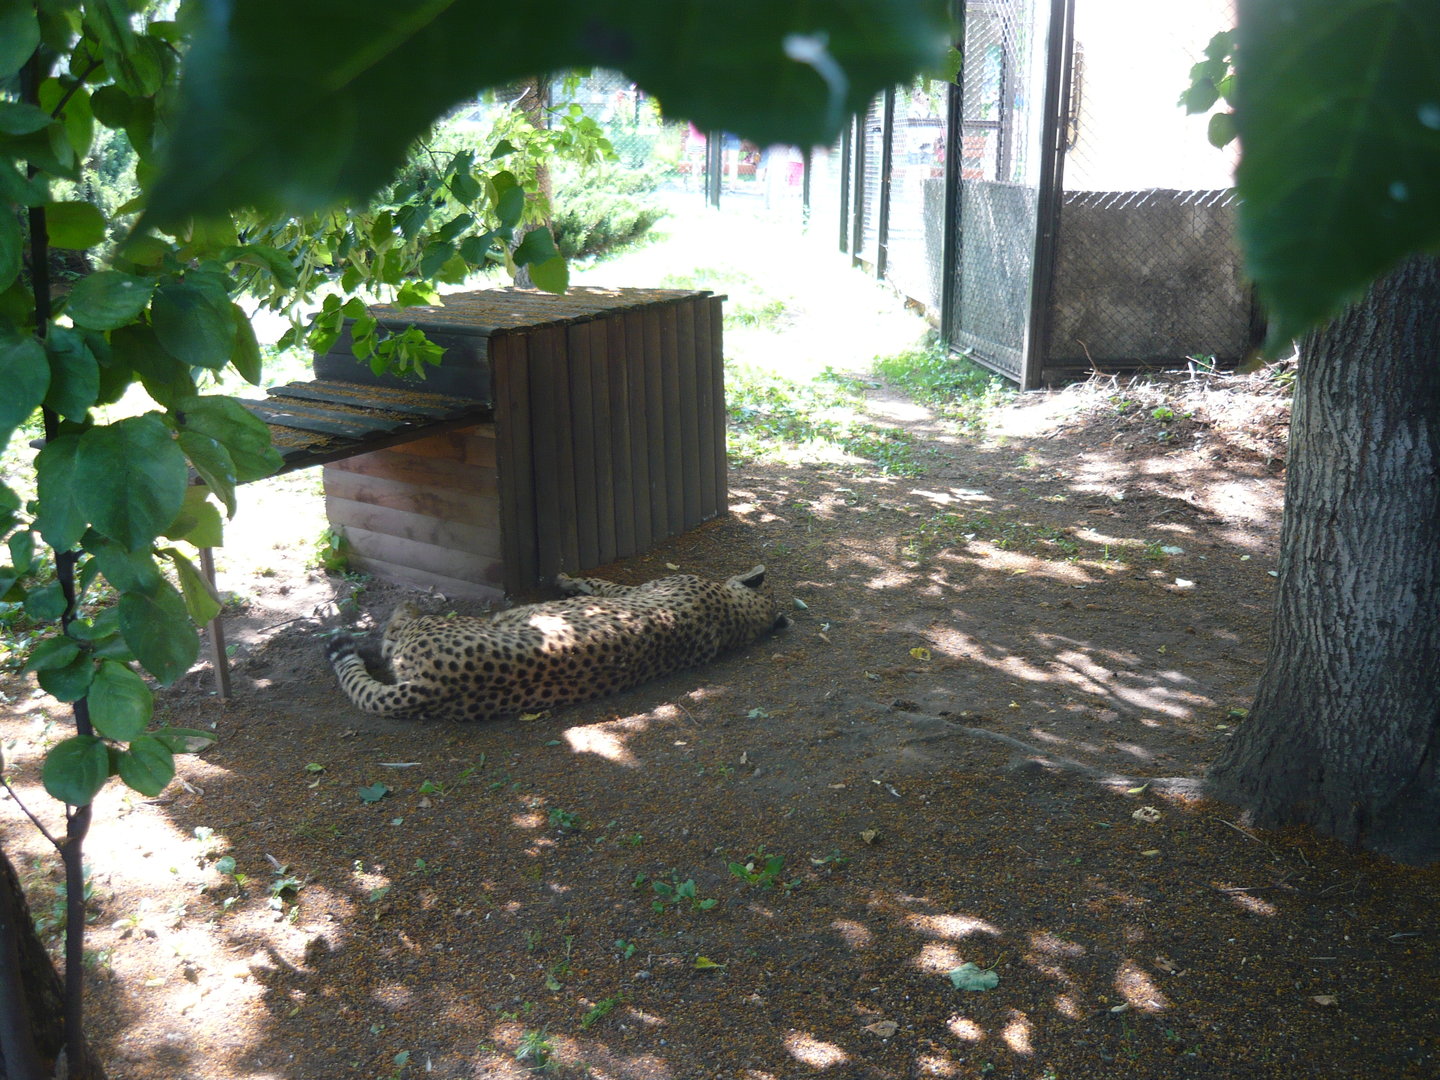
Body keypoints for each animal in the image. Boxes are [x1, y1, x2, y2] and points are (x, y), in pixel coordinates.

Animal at [325, 565, 788, 722]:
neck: (736, 618)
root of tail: (435, 687)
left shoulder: (631, 590)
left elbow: (600, 583)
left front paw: (566, 579)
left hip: (438, 629)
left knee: (394, 632)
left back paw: (394, 611)